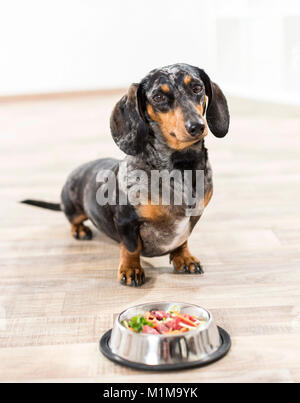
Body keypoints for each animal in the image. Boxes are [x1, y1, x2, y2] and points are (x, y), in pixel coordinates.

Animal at [22, 64, 230, 288]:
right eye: (158, 97)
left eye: (197, 88)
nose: (197, 126)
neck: (182, 166)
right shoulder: (125, 220)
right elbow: (131, 248)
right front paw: (131, 269)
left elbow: (182, 240)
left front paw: (183, 258)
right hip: (73, 207)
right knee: (73, 220)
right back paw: (79, 230)